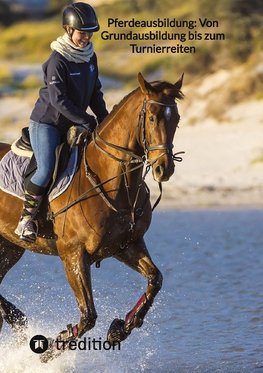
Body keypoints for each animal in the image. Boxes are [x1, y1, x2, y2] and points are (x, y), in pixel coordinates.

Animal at [0, 72, 184, 358]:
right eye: (153, 117)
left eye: (176, 119)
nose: (164, 169)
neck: (112, 181)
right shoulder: (73, 254)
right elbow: (88, 315)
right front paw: (51, 349)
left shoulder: (126, 245)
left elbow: (155, 280)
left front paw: (120, 329)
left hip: (9, 248)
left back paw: (16, 317)